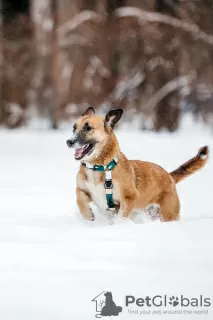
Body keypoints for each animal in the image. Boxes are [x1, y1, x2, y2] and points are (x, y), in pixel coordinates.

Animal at [67, 107, 210, 222]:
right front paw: (88, 216)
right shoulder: (82, 190)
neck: (98, 167)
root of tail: (169, 176)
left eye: (88, 128)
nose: (69, 141)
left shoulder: (128, 198)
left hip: (168, 214)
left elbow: (122, 217)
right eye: (74, 127)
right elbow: (80, 201)